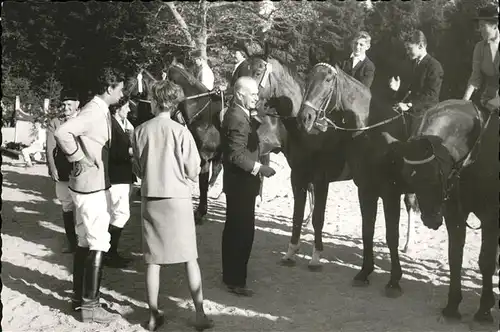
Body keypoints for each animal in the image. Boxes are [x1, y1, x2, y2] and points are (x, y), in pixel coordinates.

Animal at [300, 61, 422, 296]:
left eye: (328, 79)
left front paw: (394, 281)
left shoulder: (389, 193)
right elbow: (367, 230)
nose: (305, 117)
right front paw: (364, 272)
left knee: (411, 205)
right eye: (308, 78)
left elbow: (391, 235)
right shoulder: (365, 190)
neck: (371, 134)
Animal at [382, 100, 496, 322]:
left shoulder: (491, 217)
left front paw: (484, 311)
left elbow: (486, 261)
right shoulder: (455, 215)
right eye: (409, 177)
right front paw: (452, 306)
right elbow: (455, 257)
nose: (430, 220)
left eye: (434, 176)